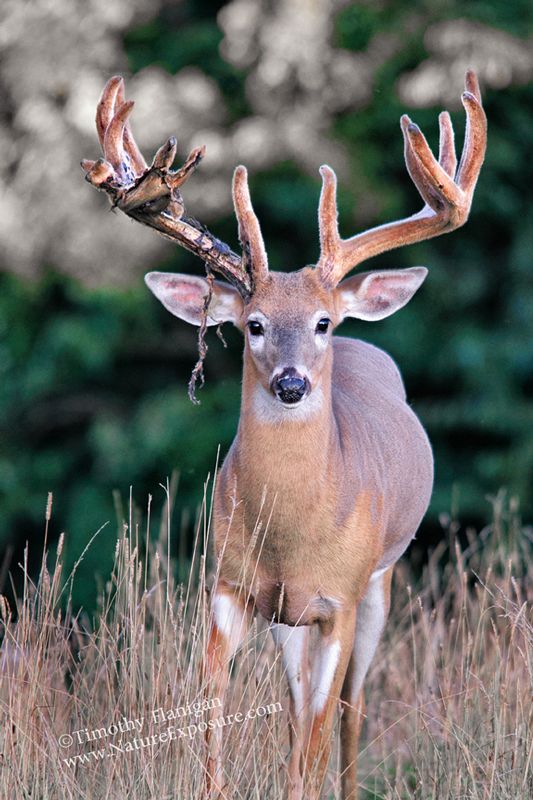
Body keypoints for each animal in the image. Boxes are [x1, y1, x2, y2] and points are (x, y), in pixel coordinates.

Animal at [82, 70, 486, 799]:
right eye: (253, 324)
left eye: (322, 322)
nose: (292, 383)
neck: (294, 533)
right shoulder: (230, 586)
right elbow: (214, 715)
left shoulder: (338, 598)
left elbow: (318, 736)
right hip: (287, 619)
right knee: (298, 711)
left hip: (380, 581)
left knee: (350, 708)